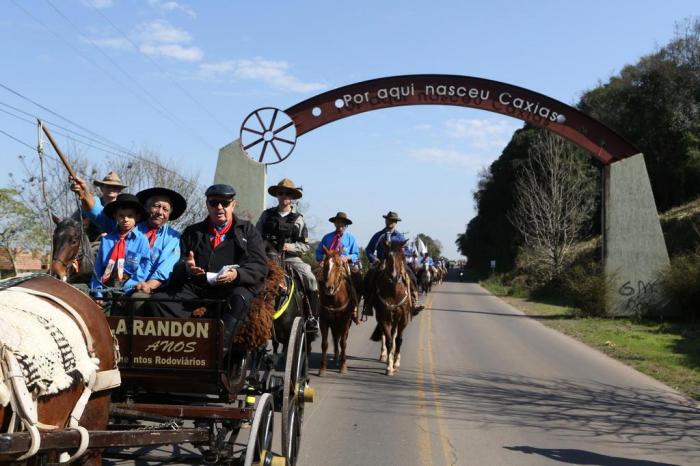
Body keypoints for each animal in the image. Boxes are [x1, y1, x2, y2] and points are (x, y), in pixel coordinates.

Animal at [370, 242, 412, 376]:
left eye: (402, 256)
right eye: (388, 256)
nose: (394, 277)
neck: (394, 292)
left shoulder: (403, 319)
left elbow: (399, 340)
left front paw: (396, 363)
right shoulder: (384, 318)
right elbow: (388, 340)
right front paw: (389, 366)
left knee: (394, 335)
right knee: (386, 336)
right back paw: (384, 355)